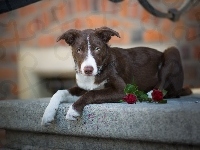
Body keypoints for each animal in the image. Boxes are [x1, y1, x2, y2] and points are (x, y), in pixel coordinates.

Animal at [41, 26, 191, 125]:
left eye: (97, 49)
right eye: (79, 50)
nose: (88, 69)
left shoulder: (122, 90)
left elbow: (92, 93)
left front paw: (73, 110)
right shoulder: (82, 87)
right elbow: (60, 92)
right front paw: (47, 114)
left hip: (172, 52)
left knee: (165, 86)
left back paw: (150, 94)